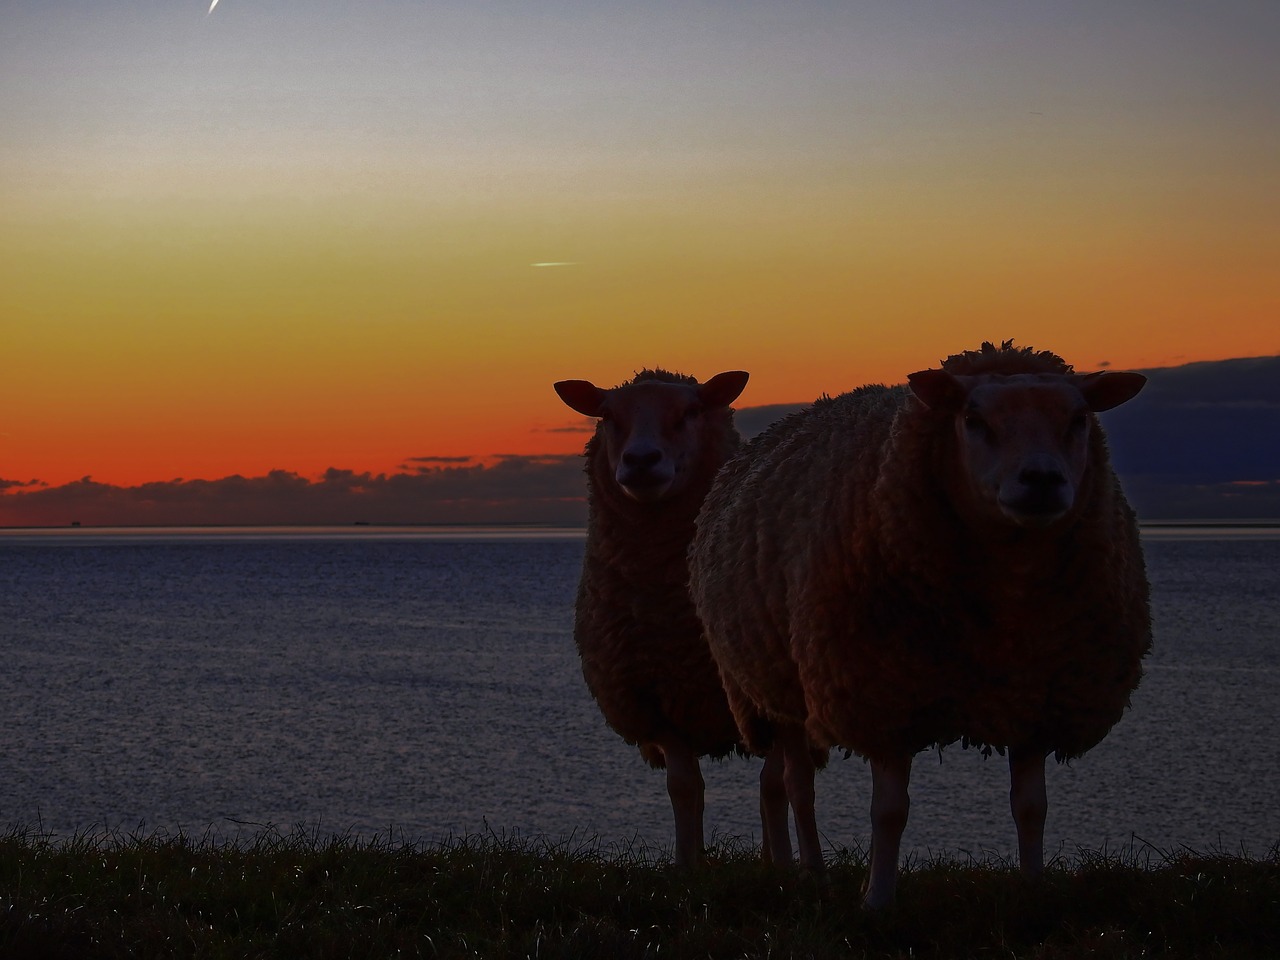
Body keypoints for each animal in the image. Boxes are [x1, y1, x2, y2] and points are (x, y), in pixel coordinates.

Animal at [547, 363, 768, 870]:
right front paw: (689, 867)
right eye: (608, 416)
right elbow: (685, 789)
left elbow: (776, 786)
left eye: (691, 412)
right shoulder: (657, 695)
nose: (642, 460)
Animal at [691, 343, 1152, 911]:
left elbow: (1031, 807)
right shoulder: (883, 696)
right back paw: (813, 873)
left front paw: (1032, 890)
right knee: (797, 785)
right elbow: (890, 812)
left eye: (1079, 419)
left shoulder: (1036, 699)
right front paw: (877, 900)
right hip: (779, 691)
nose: (1042, 480)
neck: (1008, 605)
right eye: (973, 420)